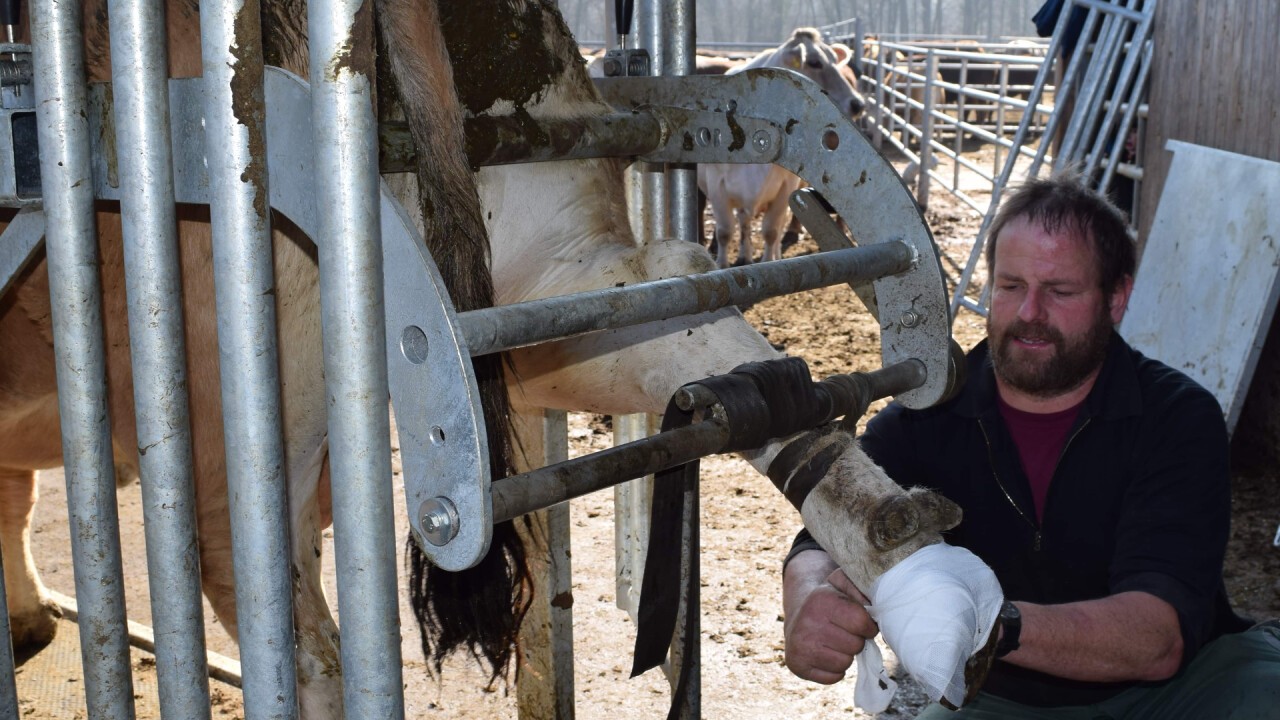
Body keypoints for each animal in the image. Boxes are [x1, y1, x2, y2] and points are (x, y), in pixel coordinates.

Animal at [696, 25, 865, 266]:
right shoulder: (717, 186)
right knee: (744, 221)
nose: (858, 103)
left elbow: (771, 231)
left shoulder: (784, 189)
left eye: (835, 59)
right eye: (814, 62)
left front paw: (770, 260)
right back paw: (745, 255)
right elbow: (725, 232)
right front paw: (721, 264)